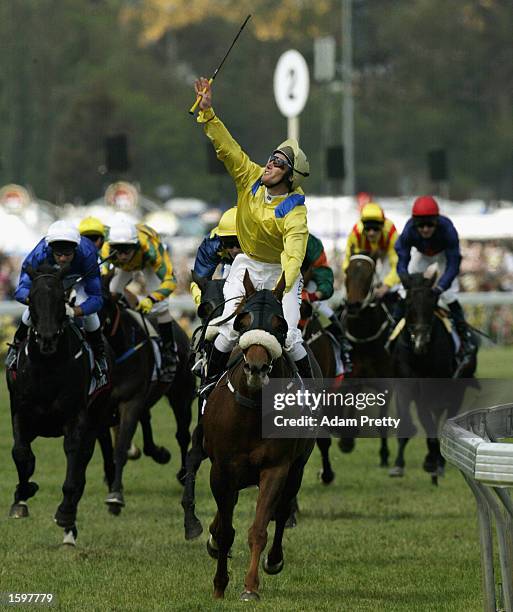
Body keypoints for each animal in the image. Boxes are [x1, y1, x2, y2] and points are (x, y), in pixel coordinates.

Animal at [5, 262, 110, 544]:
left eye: (61, 299)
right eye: (31, 300)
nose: (48, 339)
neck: (47, 366)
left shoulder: (77, 418)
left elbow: (74, 465)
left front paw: (65, 514)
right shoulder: (21, 411)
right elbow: (21, 454)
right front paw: (23, 495)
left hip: (96, 418)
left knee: (82, 467)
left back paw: (69, 528)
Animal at [202, 272, 314, 596]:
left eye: (280, 324)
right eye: (242, 320)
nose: (256, 367)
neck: (252, 409)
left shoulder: (276, 468)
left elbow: (260, 528)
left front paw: (250, 586)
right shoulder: (222, 468)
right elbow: (225, 530)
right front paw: (219, 584)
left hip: (297, 468)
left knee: (283, 510)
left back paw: (274, 559)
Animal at [392, 268, 476, 482]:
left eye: (432, 304)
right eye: (408, 303)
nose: (420, 342)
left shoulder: (439, 390)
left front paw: (434, 461)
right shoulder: (407, 385)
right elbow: (416, 419)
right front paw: (402, 464)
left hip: (456, 391)